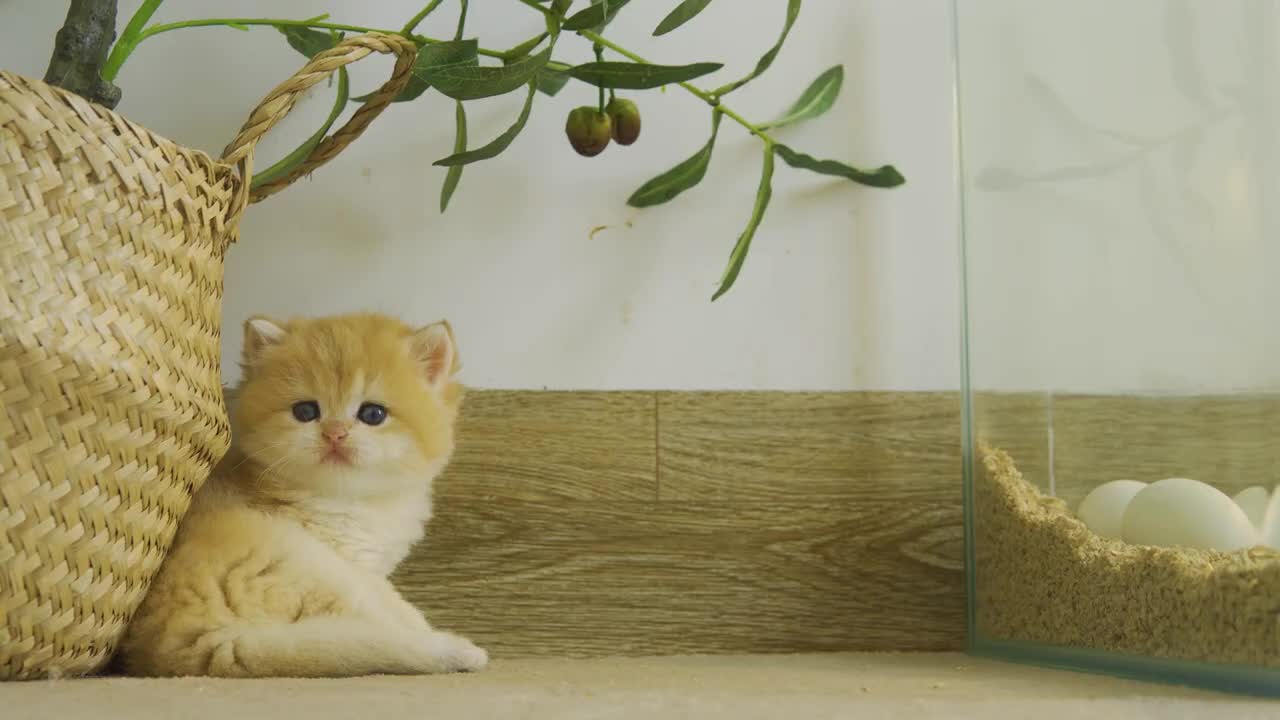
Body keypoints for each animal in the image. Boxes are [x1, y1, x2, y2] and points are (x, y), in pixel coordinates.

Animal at [117, 311, 486, 676]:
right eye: (306, 411)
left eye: (373, 414)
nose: (335, 434)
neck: (347, 498)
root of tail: (178, 646)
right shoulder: (356, 567)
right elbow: (396, 607)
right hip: (311, 565)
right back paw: (455, 650)